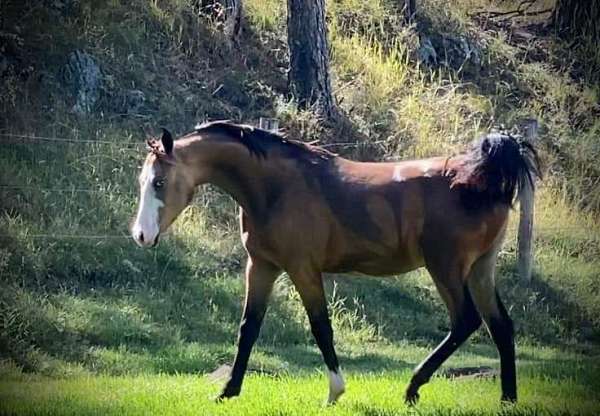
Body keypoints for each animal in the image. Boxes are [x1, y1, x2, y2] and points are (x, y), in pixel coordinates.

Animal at [130, 121, 540, 406]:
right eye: (143, 181)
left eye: (160, 182)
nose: (141, 236)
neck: (276, 187)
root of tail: (484, 178)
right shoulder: (261, 266)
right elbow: (249, 327)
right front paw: (227, 392)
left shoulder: (303, 270)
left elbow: (321, 328)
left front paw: (335, 392)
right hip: (480, 270)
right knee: (501, 326)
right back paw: (507, 400)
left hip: (447, 269)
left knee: (466, 321)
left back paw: (412, 388)